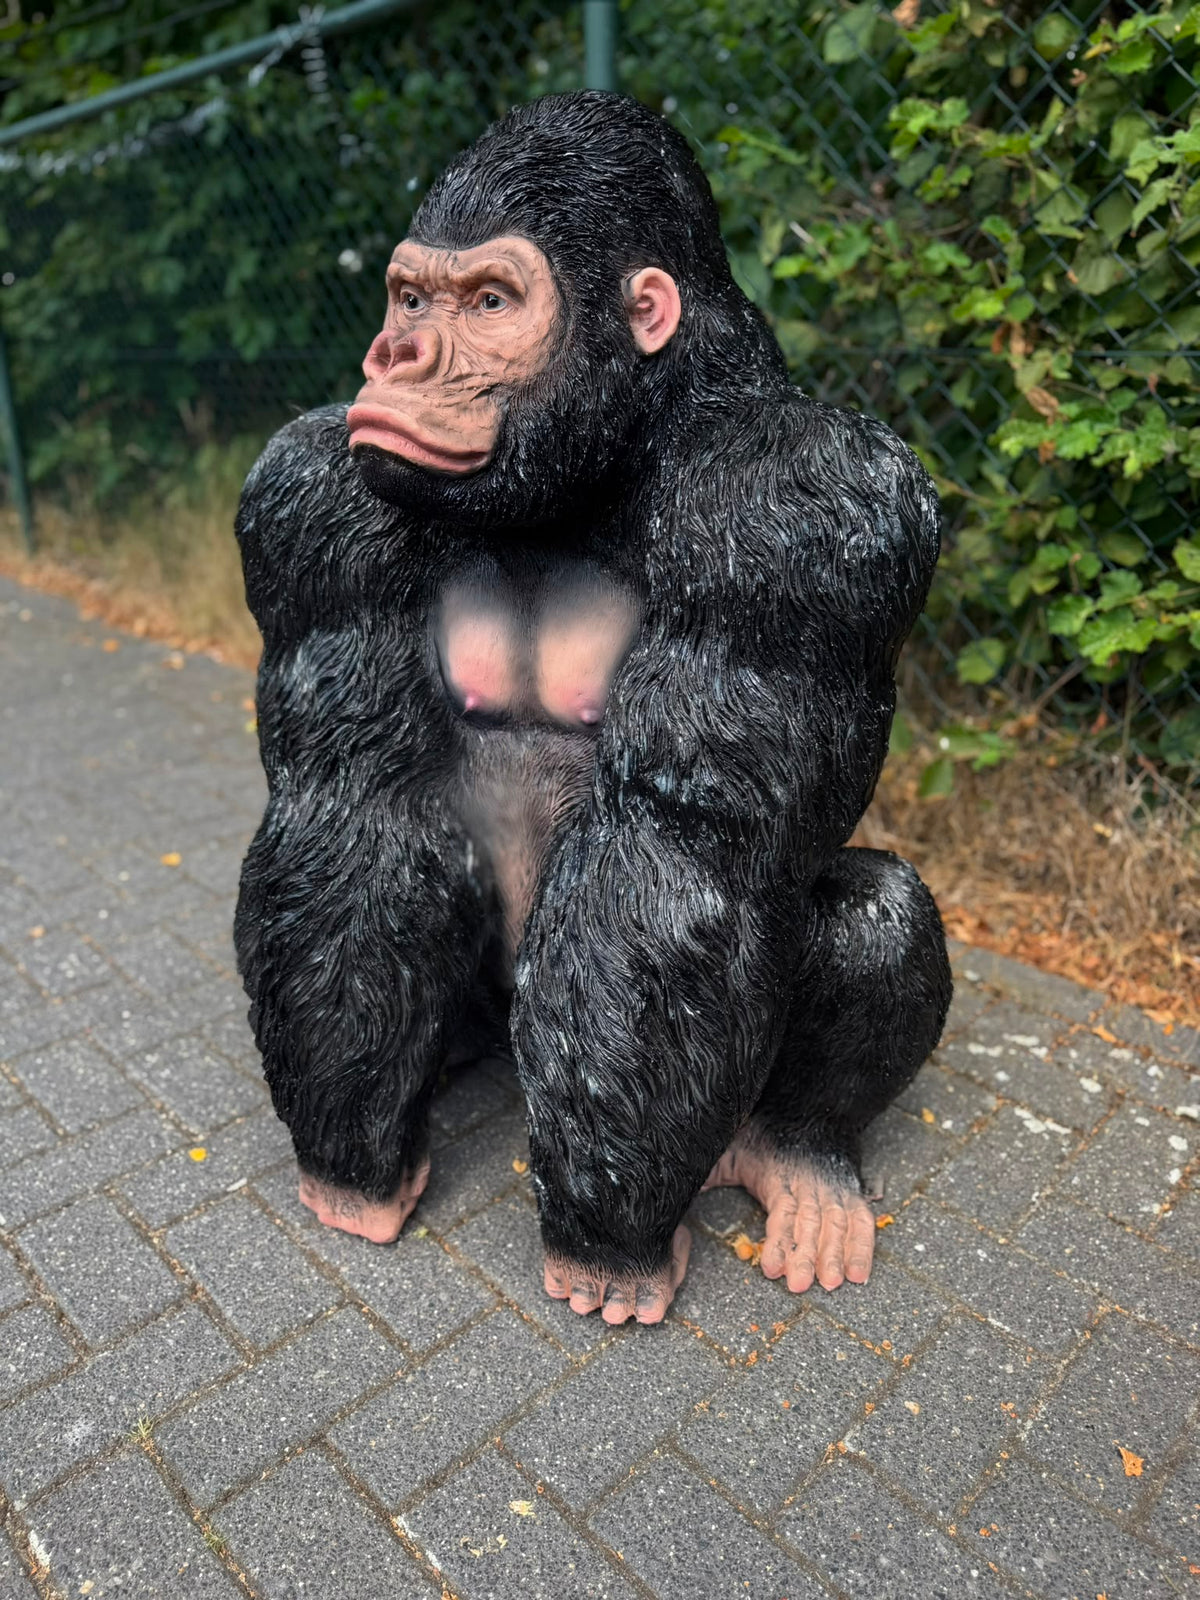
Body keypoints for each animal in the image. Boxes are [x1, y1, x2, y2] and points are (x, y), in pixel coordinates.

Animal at [234, 90, 952, 1327]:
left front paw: (609, 1248)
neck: (608, 459)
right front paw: (354, 1170)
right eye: (411, 297)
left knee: (880, 910)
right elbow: (350, 806)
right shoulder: (310, 501)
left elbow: (675, 860)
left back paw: (796, 1156)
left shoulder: (795, 506)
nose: (397, 352)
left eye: (490, 301)